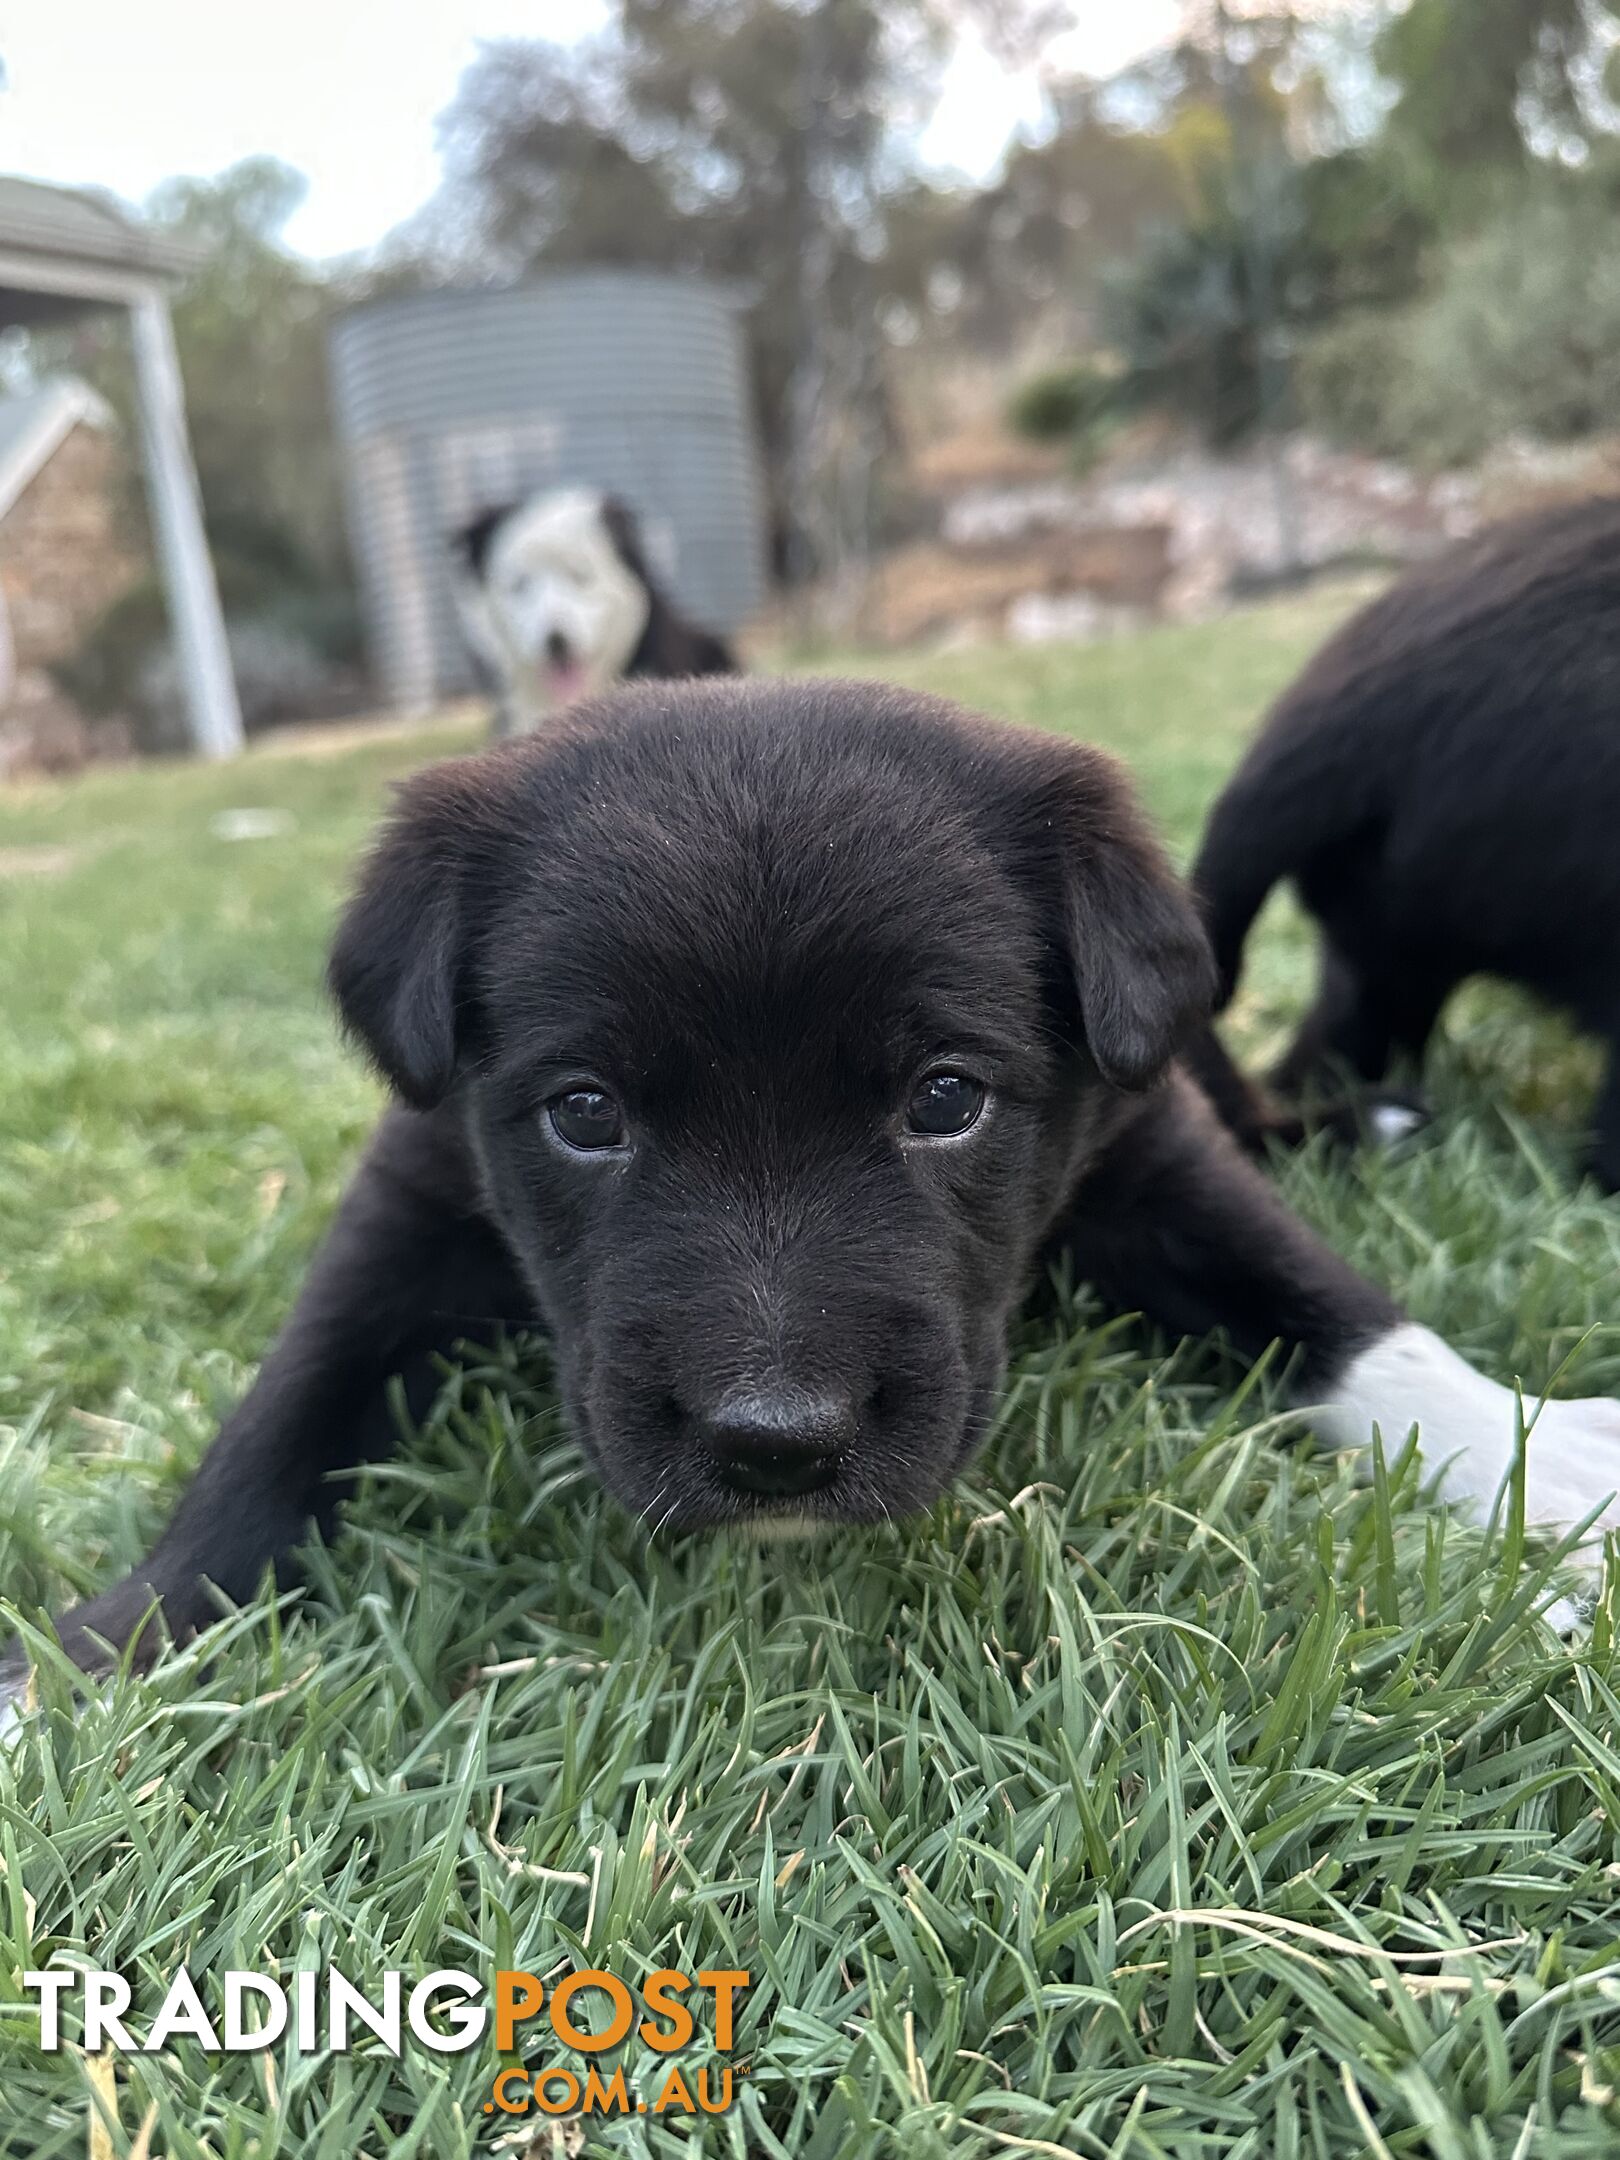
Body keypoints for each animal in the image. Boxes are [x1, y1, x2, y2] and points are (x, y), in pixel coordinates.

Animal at [6, 673, 1615, 1702]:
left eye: (946, 1100)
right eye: (585, 1115)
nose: (774, 1443)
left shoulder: (1150, 1155)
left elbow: (1338, 1311)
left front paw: (1539, 1461)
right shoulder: (408, 1203)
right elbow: (277, 1425)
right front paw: (97, 1659)